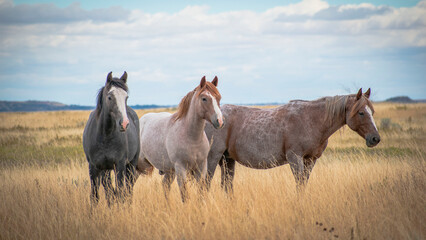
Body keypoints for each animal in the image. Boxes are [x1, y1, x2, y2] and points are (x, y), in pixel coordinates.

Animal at [81, 71, 138, 206]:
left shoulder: (120, 165)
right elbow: (95, 196)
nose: (124, 123)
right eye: (110, 97)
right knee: (109, 189)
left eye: (126, 97)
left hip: (131, 164)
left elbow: (121, 192)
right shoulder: (94, 167)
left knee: (128, 189)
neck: (104, 136)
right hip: (105, 169)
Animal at [205, 88, 382, 191]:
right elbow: (299, 184)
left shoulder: (311, 160)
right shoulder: (295, 158)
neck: (311, 120)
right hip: (213, 158)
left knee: (227, 186)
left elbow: (303, 184)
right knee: (205, 183)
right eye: (361, 112)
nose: (375, 138)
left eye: (372, 111)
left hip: (228, 160)